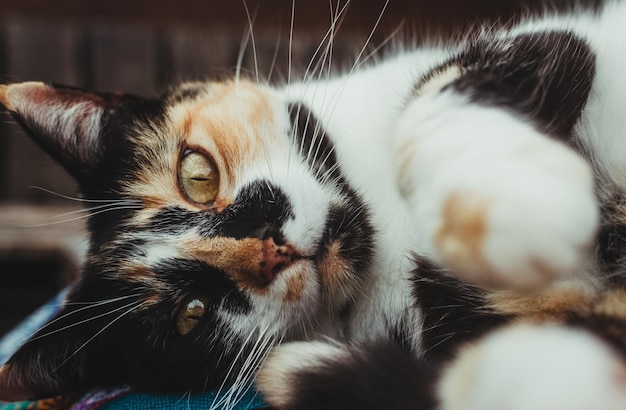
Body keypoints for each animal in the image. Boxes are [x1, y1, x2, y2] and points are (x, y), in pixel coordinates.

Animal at [0, 1, 624, 408]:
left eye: (196, 175)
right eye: (191, 315)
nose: (270, 245)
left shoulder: (551, 41)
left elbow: (428, 103)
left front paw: (513, 207)